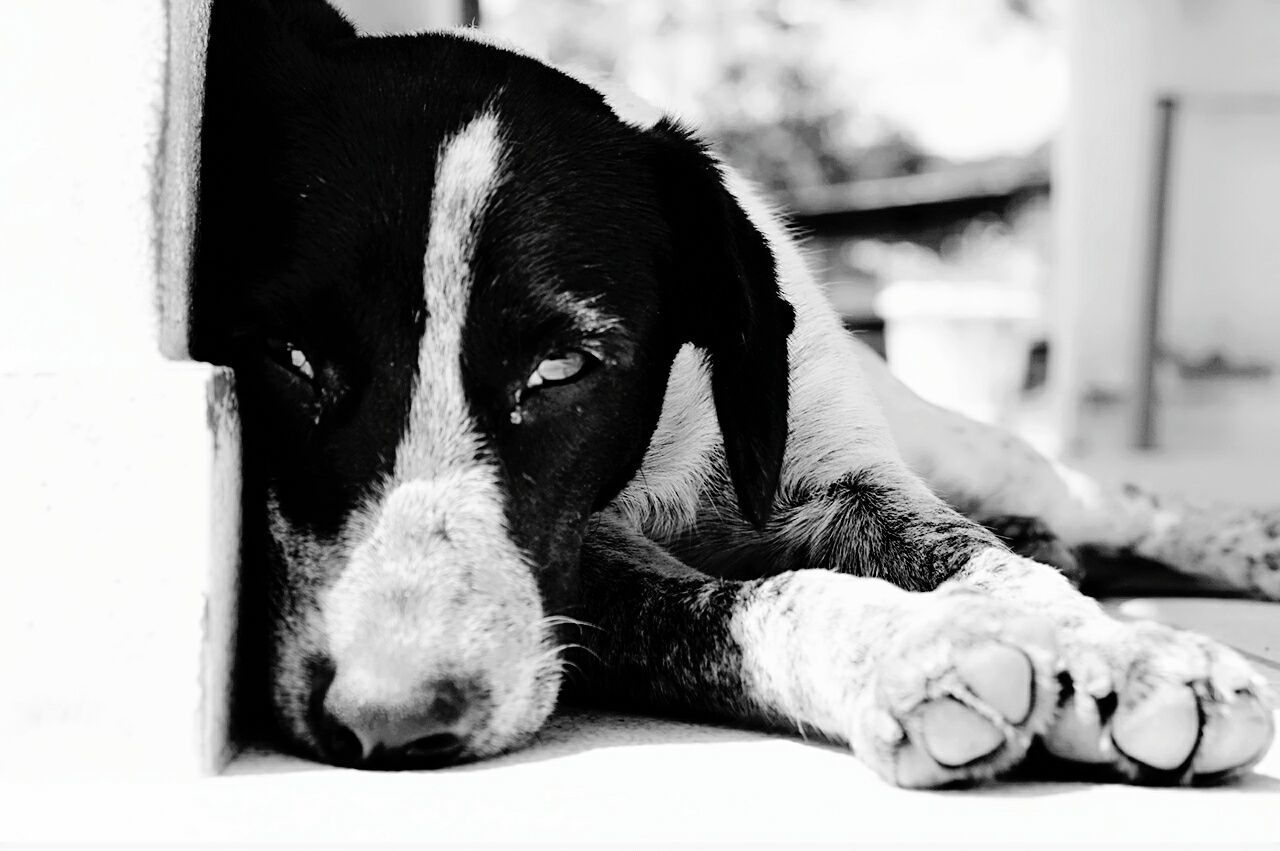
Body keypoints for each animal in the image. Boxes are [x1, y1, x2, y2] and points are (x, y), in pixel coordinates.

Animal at [192, 0, 1280, 788]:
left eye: (563, 367)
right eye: (288, 356)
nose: (389, 720)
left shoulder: (844, 477)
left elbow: (995, 567)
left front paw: (1121, 651)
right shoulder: (587, 574)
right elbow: (765, 599)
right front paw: (914, 644)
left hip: (963, 440)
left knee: (1107, 501)